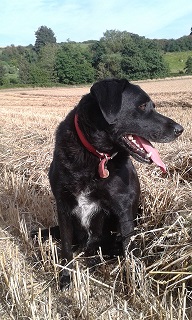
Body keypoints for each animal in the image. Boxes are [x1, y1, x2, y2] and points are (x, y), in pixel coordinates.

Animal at [48, 79, 183, 288]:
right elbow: (66, 247)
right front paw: (65, 278)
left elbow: (129, 250)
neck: (97, 156)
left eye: (153, 106)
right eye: (142, 106)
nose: (180, 129)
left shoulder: (123, 208)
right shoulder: (63, 206)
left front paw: (135, 284)